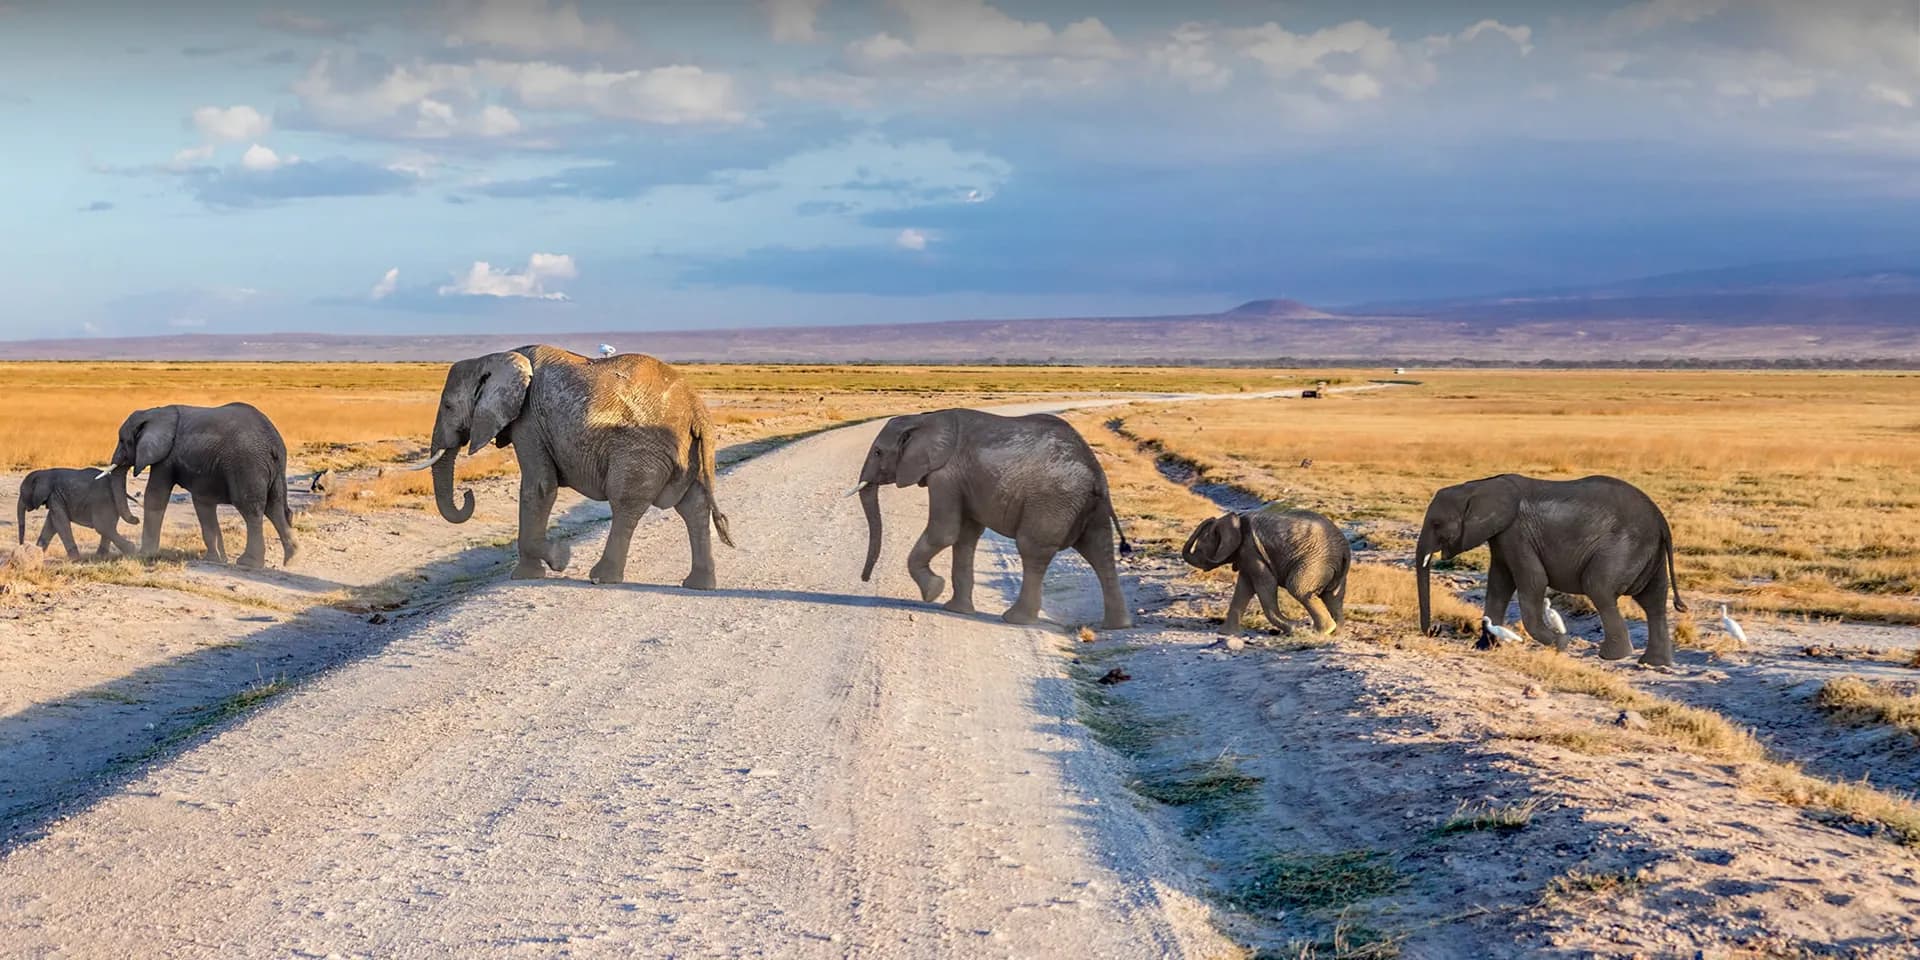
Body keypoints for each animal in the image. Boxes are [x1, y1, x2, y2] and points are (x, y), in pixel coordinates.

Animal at [104, 403, 298, 568]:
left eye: (123, 441)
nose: (135, 519)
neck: (153, 412)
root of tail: (272, 442)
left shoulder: (167, 456)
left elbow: (155, 495)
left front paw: (143, 555)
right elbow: (203, 504)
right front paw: (216, 559)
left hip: (248, 465)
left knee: (251, 510)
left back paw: (248, 563)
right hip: (275, 469)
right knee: (276, 508)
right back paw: (291, 559)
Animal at [419, 345, 732, 587]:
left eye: (448, 406)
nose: (467, 494)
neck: (494, 358)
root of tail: (697, 410)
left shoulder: (529, 421)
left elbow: (539, 487)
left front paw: (556, 559)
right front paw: (539, 568)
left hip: (640, 452)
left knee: (625, 503)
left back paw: (601, 578)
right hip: (692, 453)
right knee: (693, 506)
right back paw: (699, 585)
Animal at [853, 409, 1132, 629]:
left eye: (877, 452)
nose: (864, 579)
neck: (923, 418)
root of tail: (1097, 473)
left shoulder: (946, 476)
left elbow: (945, 532)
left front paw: (932, 592)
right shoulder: (963, 481)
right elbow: (965, 537)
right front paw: (955, 609)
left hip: (1053, 501)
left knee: (1033, 551)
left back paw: (1015, 619)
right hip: (1087, 506)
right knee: (1100, 552)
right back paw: (1117, 626)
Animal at [1182, 505, 1350, 637]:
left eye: (1200, 548)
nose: (1209, 518)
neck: (1236, 520)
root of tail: (1344, 550)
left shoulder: (1252, 550)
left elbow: (1266, 584)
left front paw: (1293, 629)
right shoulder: (1248, 554)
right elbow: (1244, 587)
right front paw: (1226, 634)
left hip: (1315, 562)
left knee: (1297, 588)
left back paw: (1321, 632)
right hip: (1331, 567)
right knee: (1333, 597)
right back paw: (1335, 633)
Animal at [1415, 474, 1686, 667]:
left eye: (1437, 523)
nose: (1434, 630)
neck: (1477, 486)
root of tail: (1661, 521)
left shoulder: (1517, 533)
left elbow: (1533, 581)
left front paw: (1560, 643)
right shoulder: (1502, 536)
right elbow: (1499, 583)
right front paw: (1483, 647)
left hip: (1623, 547)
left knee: (1599, 588)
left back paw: (1612, 657)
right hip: (1648, 552)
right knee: (1653, 601)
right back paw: (1653, 663)